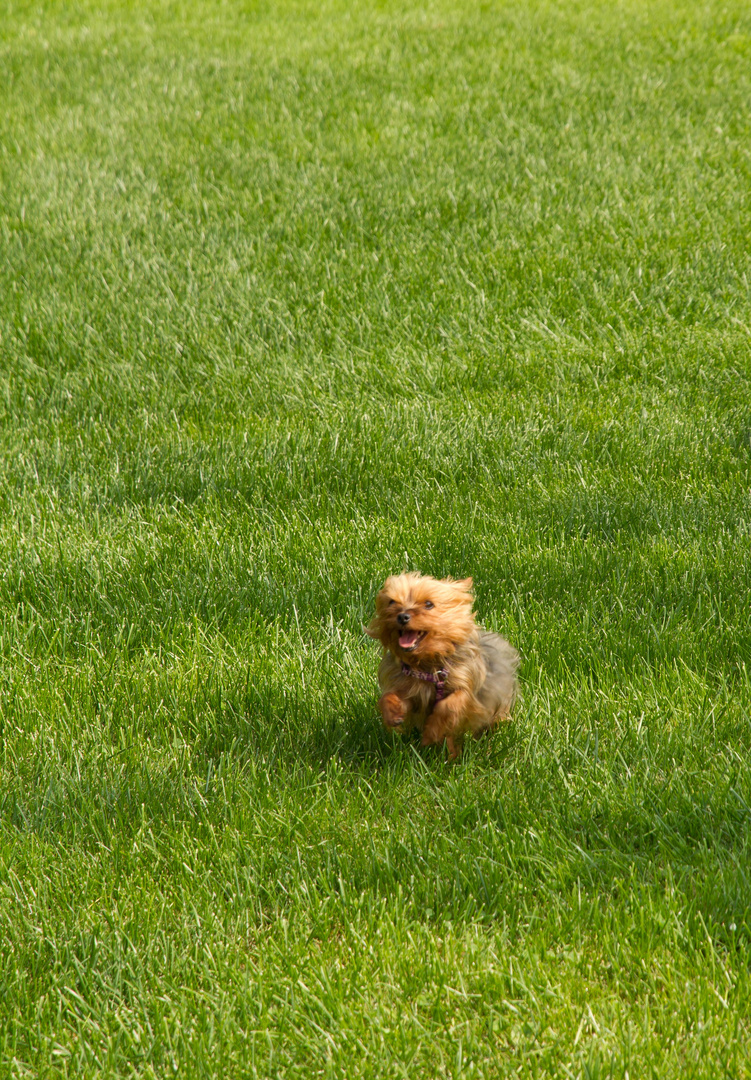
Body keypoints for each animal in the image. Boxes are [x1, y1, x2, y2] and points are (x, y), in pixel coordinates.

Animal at [367, 574, 520, 760]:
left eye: (428, 604)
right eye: (391, 602)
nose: (402, 616)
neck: (427, 664)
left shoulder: (467, 686)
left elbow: (450, 704)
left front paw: (431, 733)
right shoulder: (410, 690)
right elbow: (389, 697)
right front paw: (392, 713)